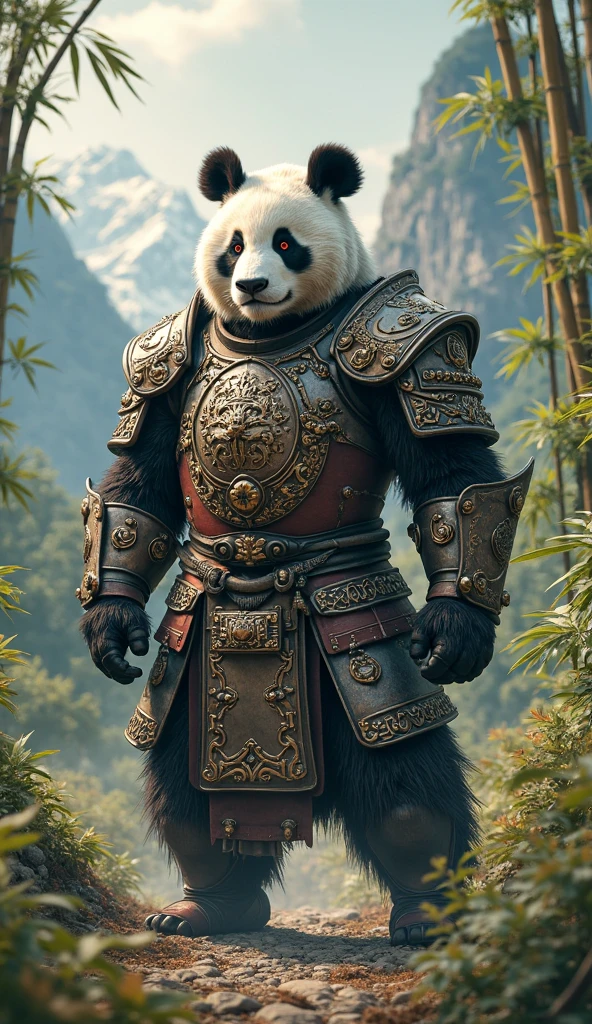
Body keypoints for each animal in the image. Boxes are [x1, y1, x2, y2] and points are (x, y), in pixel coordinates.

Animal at [80, 143, 509, 947]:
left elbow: (453, 479)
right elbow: (137, 492)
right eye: (232, 247)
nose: (249, 286)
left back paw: (426, 911)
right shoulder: (164, 364)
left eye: (286, 243)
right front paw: (109, 627)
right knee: (178, 779)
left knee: (404, 776)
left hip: (365, 657)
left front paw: (457, 632)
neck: (264, 335)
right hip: (183, 668)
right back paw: (208, 905)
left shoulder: (406, 347)